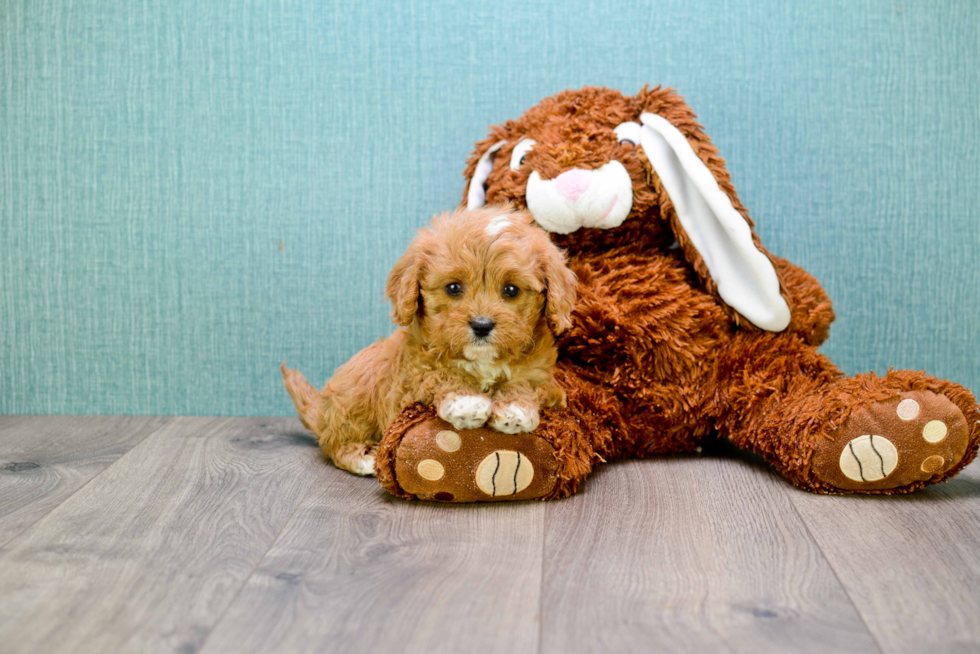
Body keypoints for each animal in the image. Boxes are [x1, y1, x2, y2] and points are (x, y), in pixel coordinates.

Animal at [280, 209, 580, 476]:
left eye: (511, 290)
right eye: (453, 288)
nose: (482, 325)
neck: (481, 361)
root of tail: (320, 410)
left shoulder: (544, 377)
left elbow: (526, 383)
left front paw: (515, 409)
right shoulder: (410, 378)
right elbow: (440, 373)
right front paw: (467, 402)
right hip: (353, 402)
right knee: (336, 443)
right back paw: (364, 458)